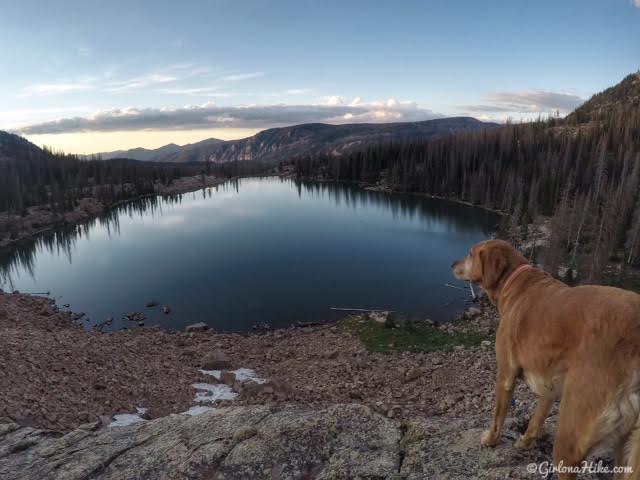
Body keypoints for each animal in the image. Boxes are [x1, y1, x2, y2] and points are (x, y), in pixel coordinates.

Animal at [452, 242, 636, 478]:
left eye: (470, 253)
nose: (452, 264)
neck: (516, 280)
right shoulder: (550, 384)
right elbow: (537, 417)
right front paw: (524, 442)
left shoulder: (505, 374)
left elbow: (498, 416)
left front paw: (490, 440)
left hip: (572, 431)